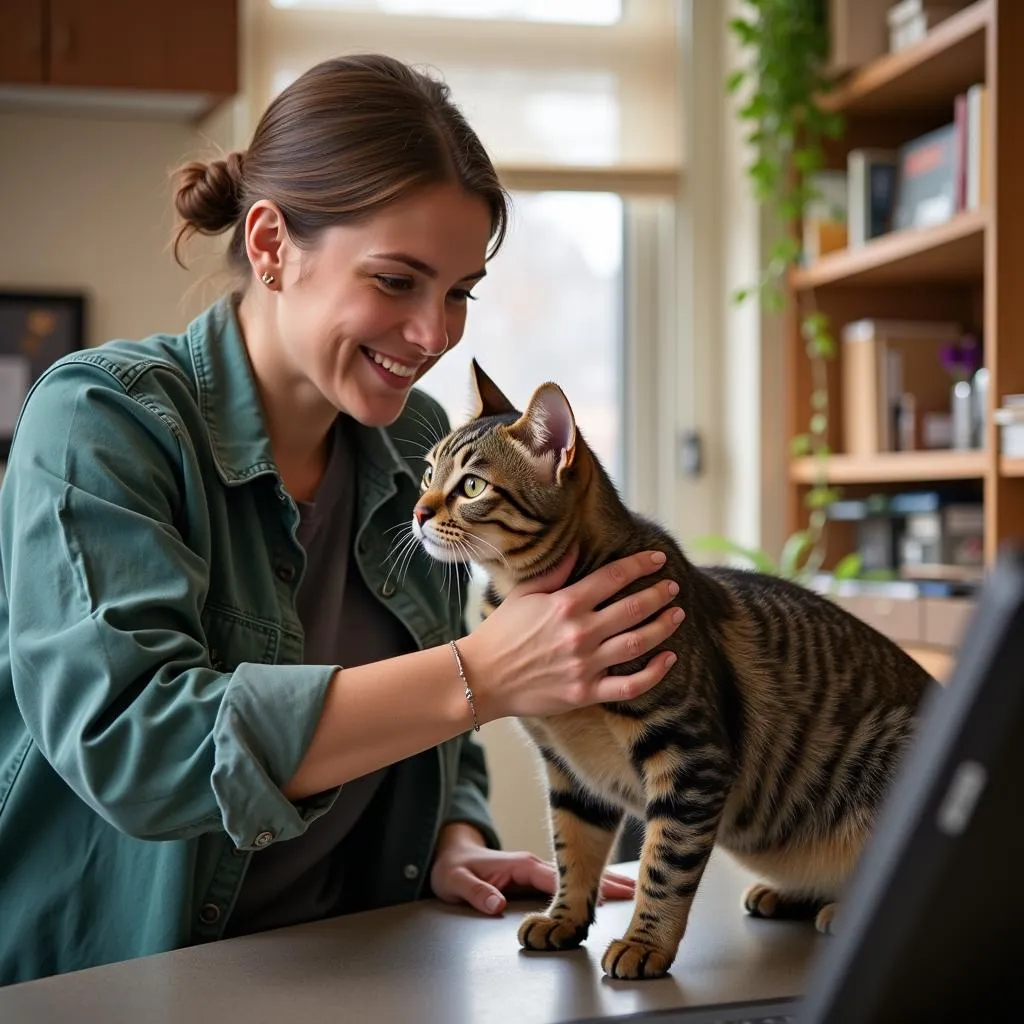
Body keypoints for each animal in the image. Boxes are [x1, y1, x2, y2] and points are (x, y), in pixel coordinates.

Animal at [409, 358, 937, 974]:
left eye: (471, 485)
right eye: (427, 474)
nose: (417, 511)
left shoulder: (689, 757)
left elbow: (662, 865)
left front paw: (644, 943)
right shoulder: (569, 773)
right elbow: (573, 850)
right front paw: (564, 918)